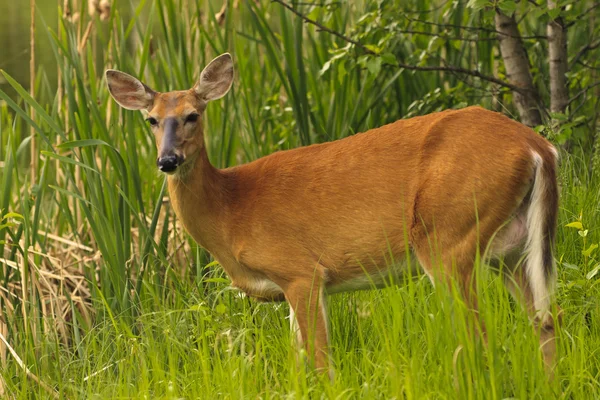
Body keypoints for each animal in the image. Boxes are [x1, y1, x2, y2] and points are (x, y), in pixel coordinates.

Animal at [105, 52, 560, 376]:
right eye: (151, 120)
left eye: (192, 115)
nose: (167, 160)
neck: (231, 209)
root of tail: (538, 146)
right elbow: (299, 362)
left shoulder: (302, 271)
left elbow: (322, 362)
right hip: (511, 247)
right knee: (544, 322)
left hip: (449, 236)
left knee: (478, 333)